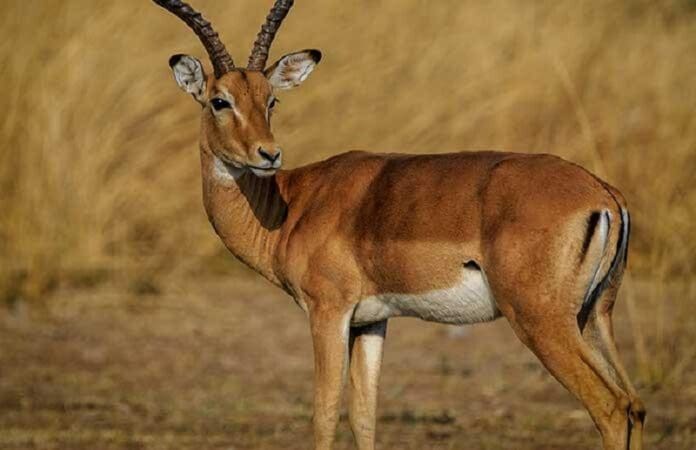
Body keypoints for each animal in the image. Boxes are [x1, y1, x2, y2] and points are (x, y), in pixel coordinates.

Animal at [152, 1, 646, 449]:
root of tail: (603, 194)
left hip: (541, 321)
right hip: (594, 316)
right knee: (635, 404)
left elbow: (324, 414)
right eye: (221, 101)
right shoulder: (372, 321)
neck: (290, 206)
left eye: (271, 99)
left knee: (610, 407)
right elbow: (364, 416)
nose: (268, 154)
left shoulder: (328, 312)